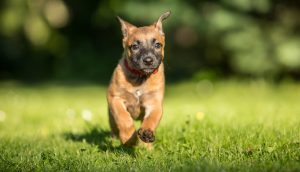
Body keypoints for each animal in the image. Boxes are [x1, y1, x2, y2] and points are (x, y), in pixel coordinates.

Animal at [106, 11, 170, 148]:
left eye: (157, 45)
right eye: (135, 46)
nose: (148, 60)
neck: (140, 78)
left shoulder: (154, 104)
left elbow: (151, 119)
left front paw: (146, 132)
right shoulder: (115, 98)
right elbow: (123, 117)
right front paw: (128, 138)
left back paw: (147, 146)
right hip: (111, 118)